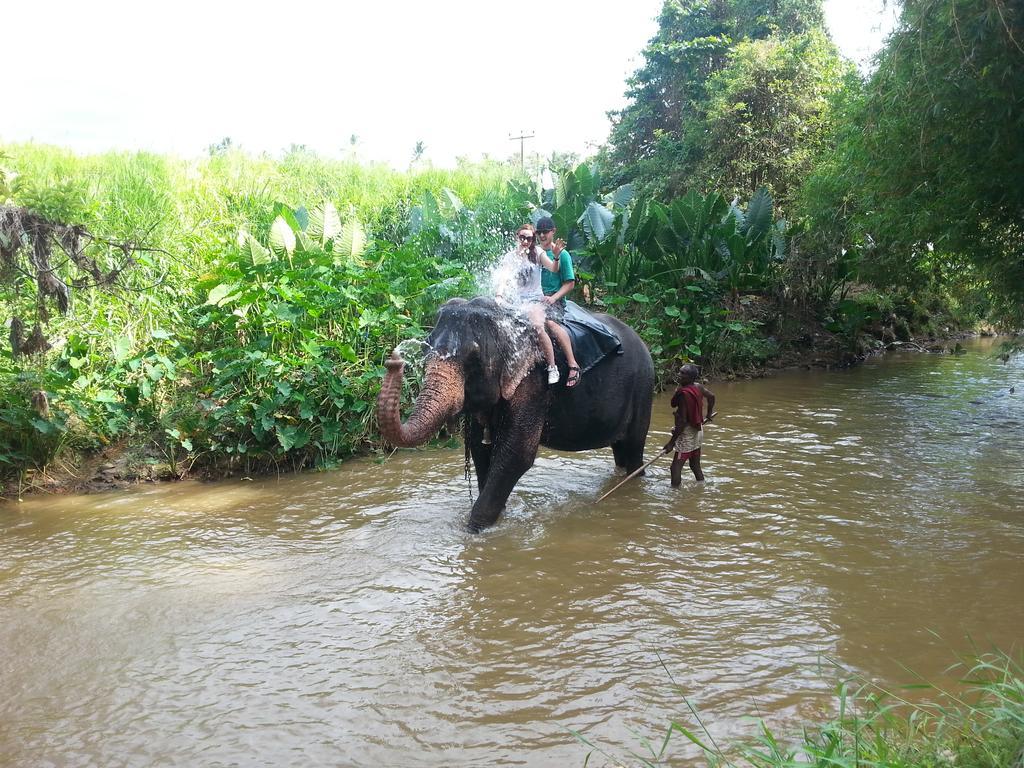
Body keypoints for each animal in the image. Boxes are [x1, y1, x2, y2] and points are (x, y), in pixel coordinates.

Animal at [378, 296, 655, 532]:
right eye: (425, 350)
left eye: (474, 357)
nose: (394, 360)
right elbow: (480, 450)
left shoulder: (533, 382)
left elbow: (516, 454)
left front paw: (473, 533)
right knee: (621, 450)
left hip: (643, 386)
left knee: (633, 448)